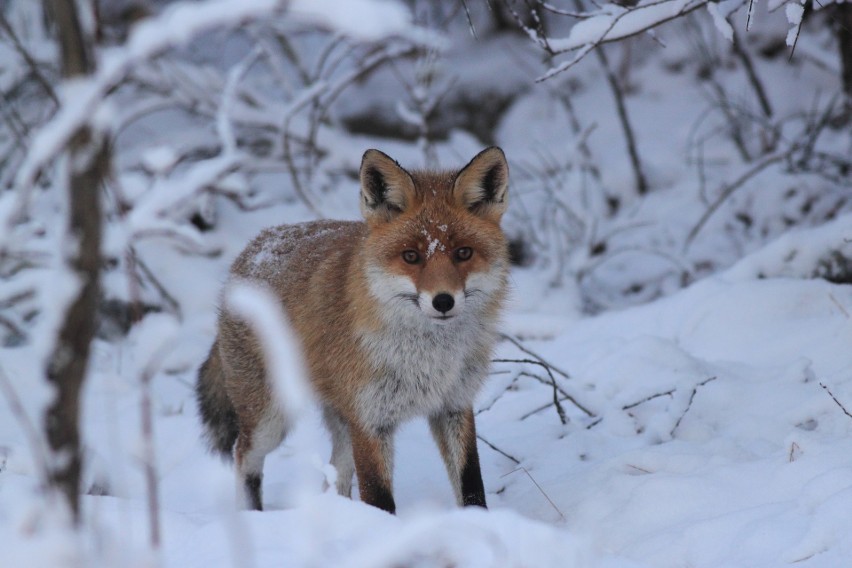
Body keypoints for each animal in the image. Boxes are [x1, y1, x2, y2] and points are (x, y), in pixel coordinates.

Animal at [196, 144, 510, 512]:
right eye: (411, 256)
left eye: (463, 253)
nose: (443, 301)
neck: (430, 360)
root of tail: (250, 250)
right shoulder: (370, 421)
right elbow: (379, 497)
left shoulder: (454, 406)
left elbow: (471, 486)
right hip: (270, 420)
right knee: (243, 456)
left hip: (341, 423)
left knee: (335, 475)